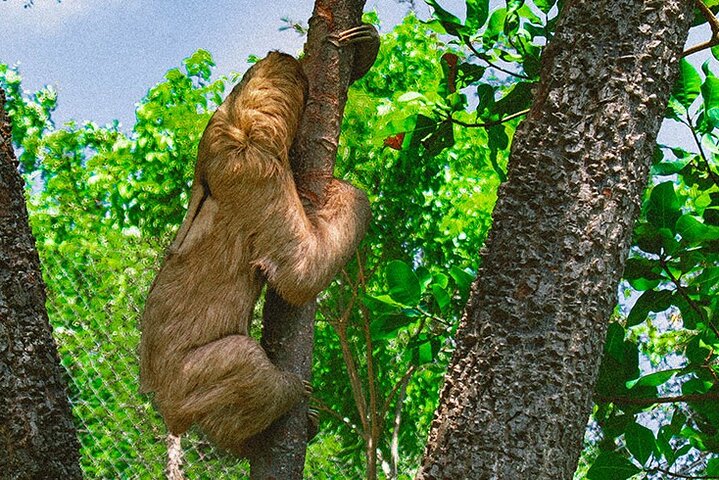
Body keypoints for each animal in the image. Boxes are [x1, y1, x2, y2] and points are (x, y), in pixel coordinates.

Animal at [139, 24, 379, 457]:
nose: (284, 57)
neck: (237, 131)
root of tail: (158, 400)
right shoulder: (256, 175)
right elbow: (300, 273)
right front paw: (349, 190)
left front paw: (364, 45)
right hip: (184, 380)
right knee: (244, 358)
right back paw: (282, 403)